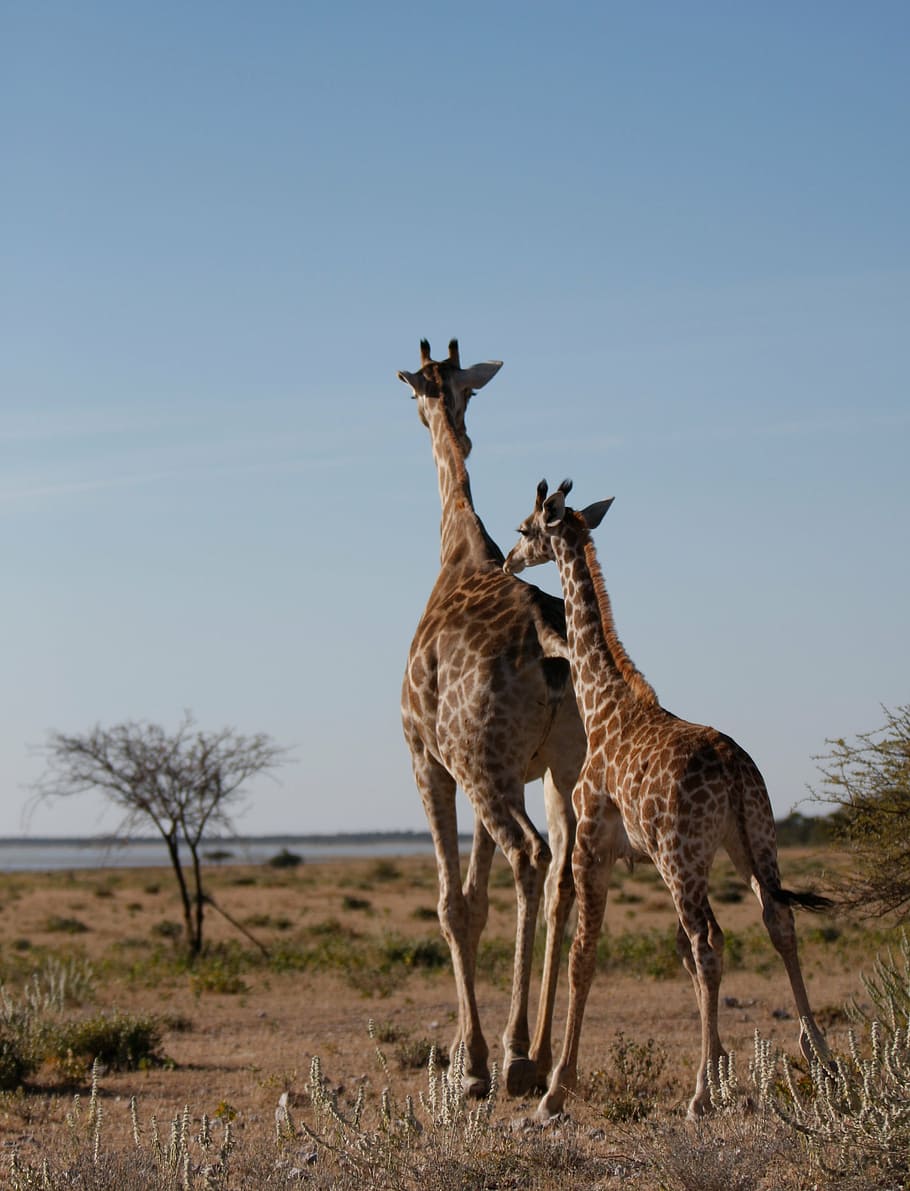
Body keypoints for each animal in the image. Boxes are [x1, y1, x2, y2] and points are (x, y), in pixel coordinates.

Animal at [397, 341, 586, 1097]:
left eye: (414, 395)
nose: (435, 417)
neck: (457, 551)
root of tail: (545, 636)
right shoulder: (498, 768)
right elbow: (475, 901)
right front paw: (459, 1050)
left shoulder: (430, 760)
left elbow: (452, 904)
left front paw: (469, 1061)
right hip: (561, 765)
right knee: (565, 874)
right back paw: (542, 1052)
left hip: (486, 769)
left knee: (531, 857)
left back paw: (512, 1057)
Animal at [503, 478, 832, 1120]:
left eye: (525, 528)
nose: (507, 562)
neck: (602, 704)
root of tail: (733, 769)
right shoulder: (643, 856)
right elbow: (670, 952)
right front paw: (726, 1067)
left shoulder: (594, 842)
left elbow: (585, 954)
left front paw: (556, 1089)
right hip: (752, 840)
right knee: (776, 920)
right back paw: (822, 1062)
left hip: (685, 858)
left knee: (710, 942)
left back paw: (701, 1095)